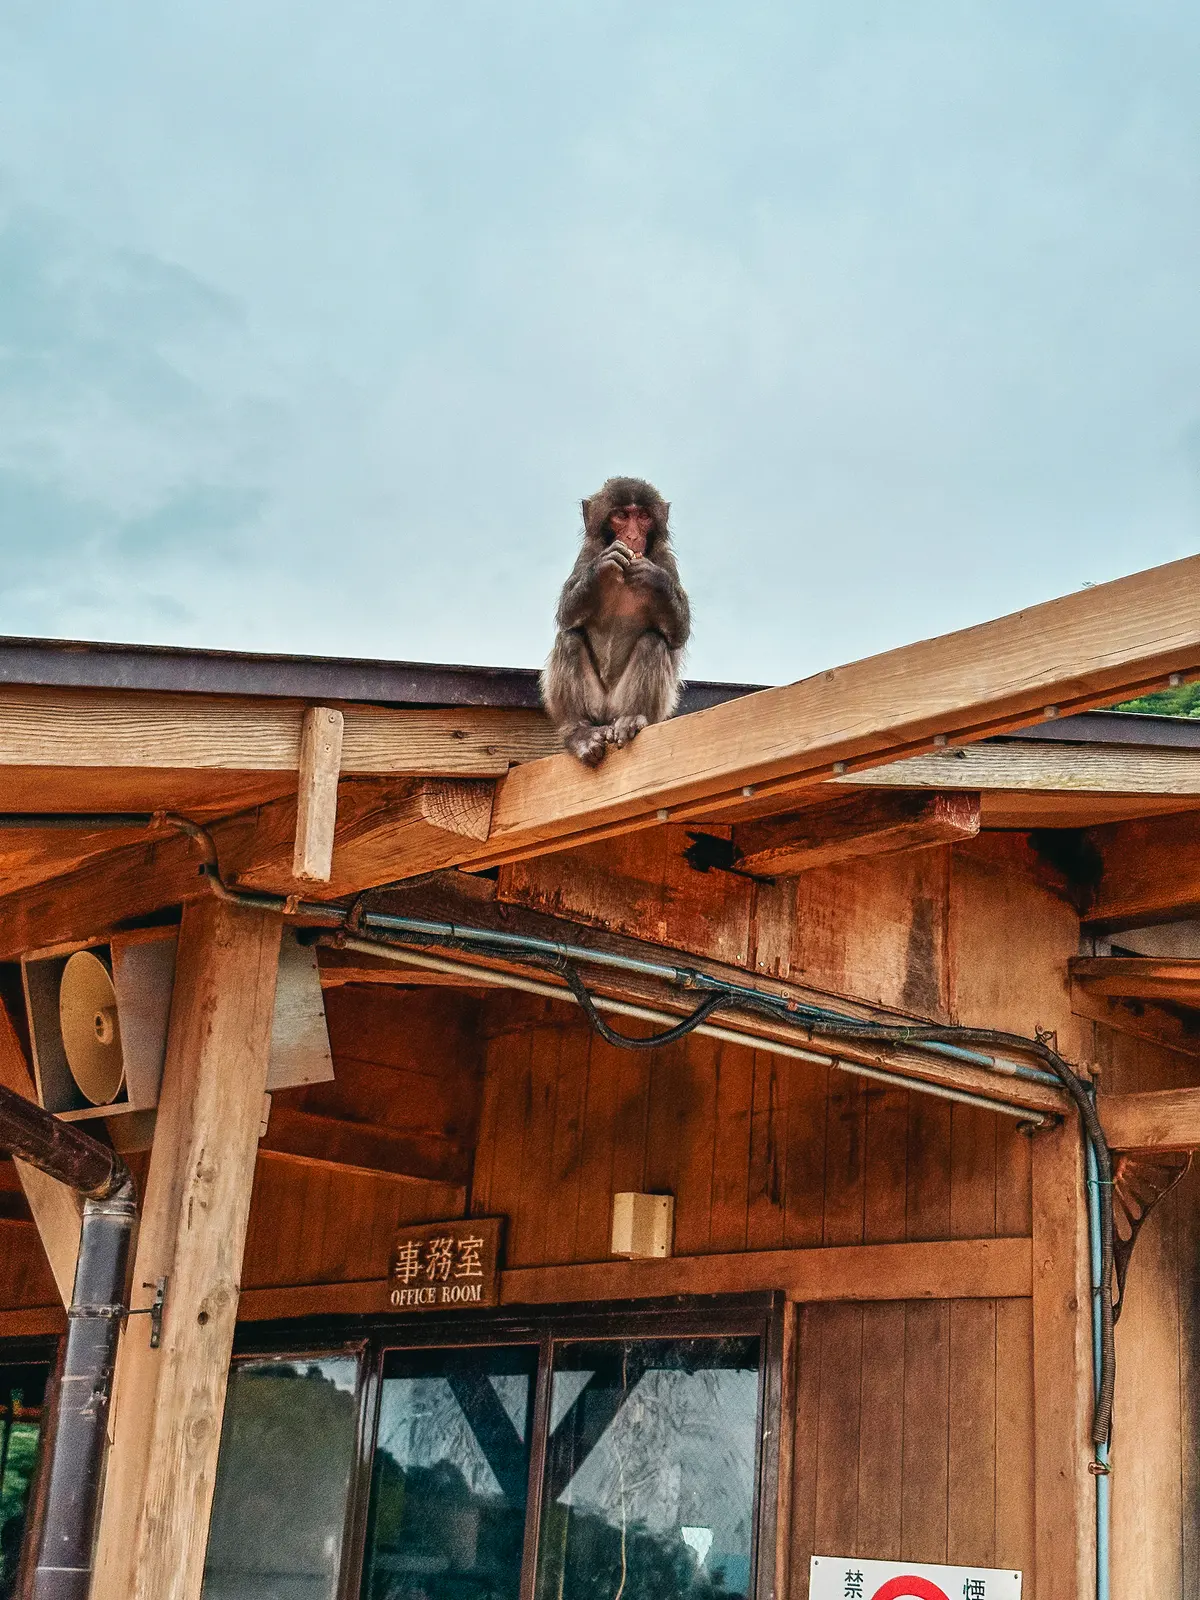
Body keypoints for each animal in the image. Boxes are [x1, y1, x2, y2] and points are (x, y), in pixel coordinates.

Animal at [540, 473, 691, 768]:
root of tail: (608, 713)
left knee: (653, 642)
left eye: (643, 516)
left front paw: (654, 579)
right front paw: (602, 567)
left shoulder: (665, 559)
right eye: (621, 515)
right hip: (595, 705)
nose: (632, 536)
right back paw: (580, 732)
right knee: (569, 638)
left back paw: (632, 718)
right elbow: (567, 614)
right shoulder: (588, 553)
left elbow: (678, 632)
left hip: (629, 706)